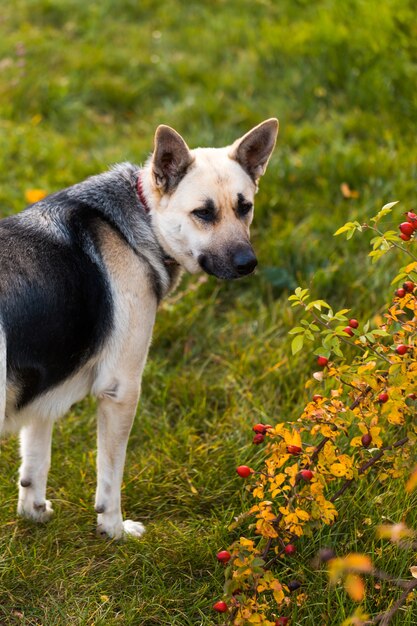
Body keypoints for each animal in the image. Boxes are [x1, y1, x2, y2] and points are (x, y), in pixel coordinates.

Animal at [0, 117, 280, 536]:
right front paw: (114, 530)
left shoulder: (46, 382)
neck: (143, 217)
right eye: (204, 213)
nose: (249, 264)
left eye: (244, 207)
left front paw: (34, 512)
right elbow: (110, 475)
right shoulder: (121, 389)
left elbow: (35, 460)